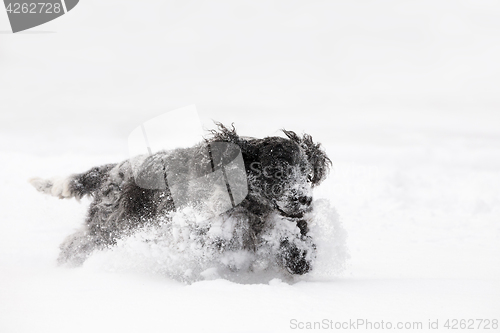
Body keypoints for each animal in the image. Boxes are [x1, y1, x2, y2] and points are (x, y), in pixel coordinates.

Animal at [29, 123, 330, 274]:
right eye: (275, 171)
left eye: (306, 173)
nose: (303, 199)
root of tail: (114, 169)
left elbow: (292, 237)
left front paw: (299, 258)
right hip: (110, 225)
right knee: (75, 244)